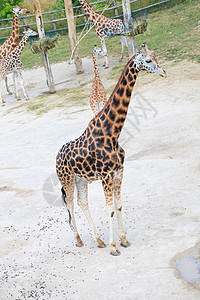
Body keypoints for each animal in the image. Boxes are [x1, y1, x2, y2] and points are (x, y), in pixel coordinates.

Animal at [55, 42, 166, 255]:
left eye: (156, 57)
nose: (164, 72)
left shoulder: (119, 171)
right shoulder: (106, 175)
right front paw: (114, 246)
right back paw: (79, 240)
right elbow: (110, 209)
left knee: (82, 203)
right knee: (71, 204)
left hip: (81, 179)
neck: (112, 134)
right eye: (148, 60)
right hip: (67, 179)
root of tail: (56, 157)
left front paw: (123, 240)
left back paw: (98, 240)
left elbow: (119, 205)